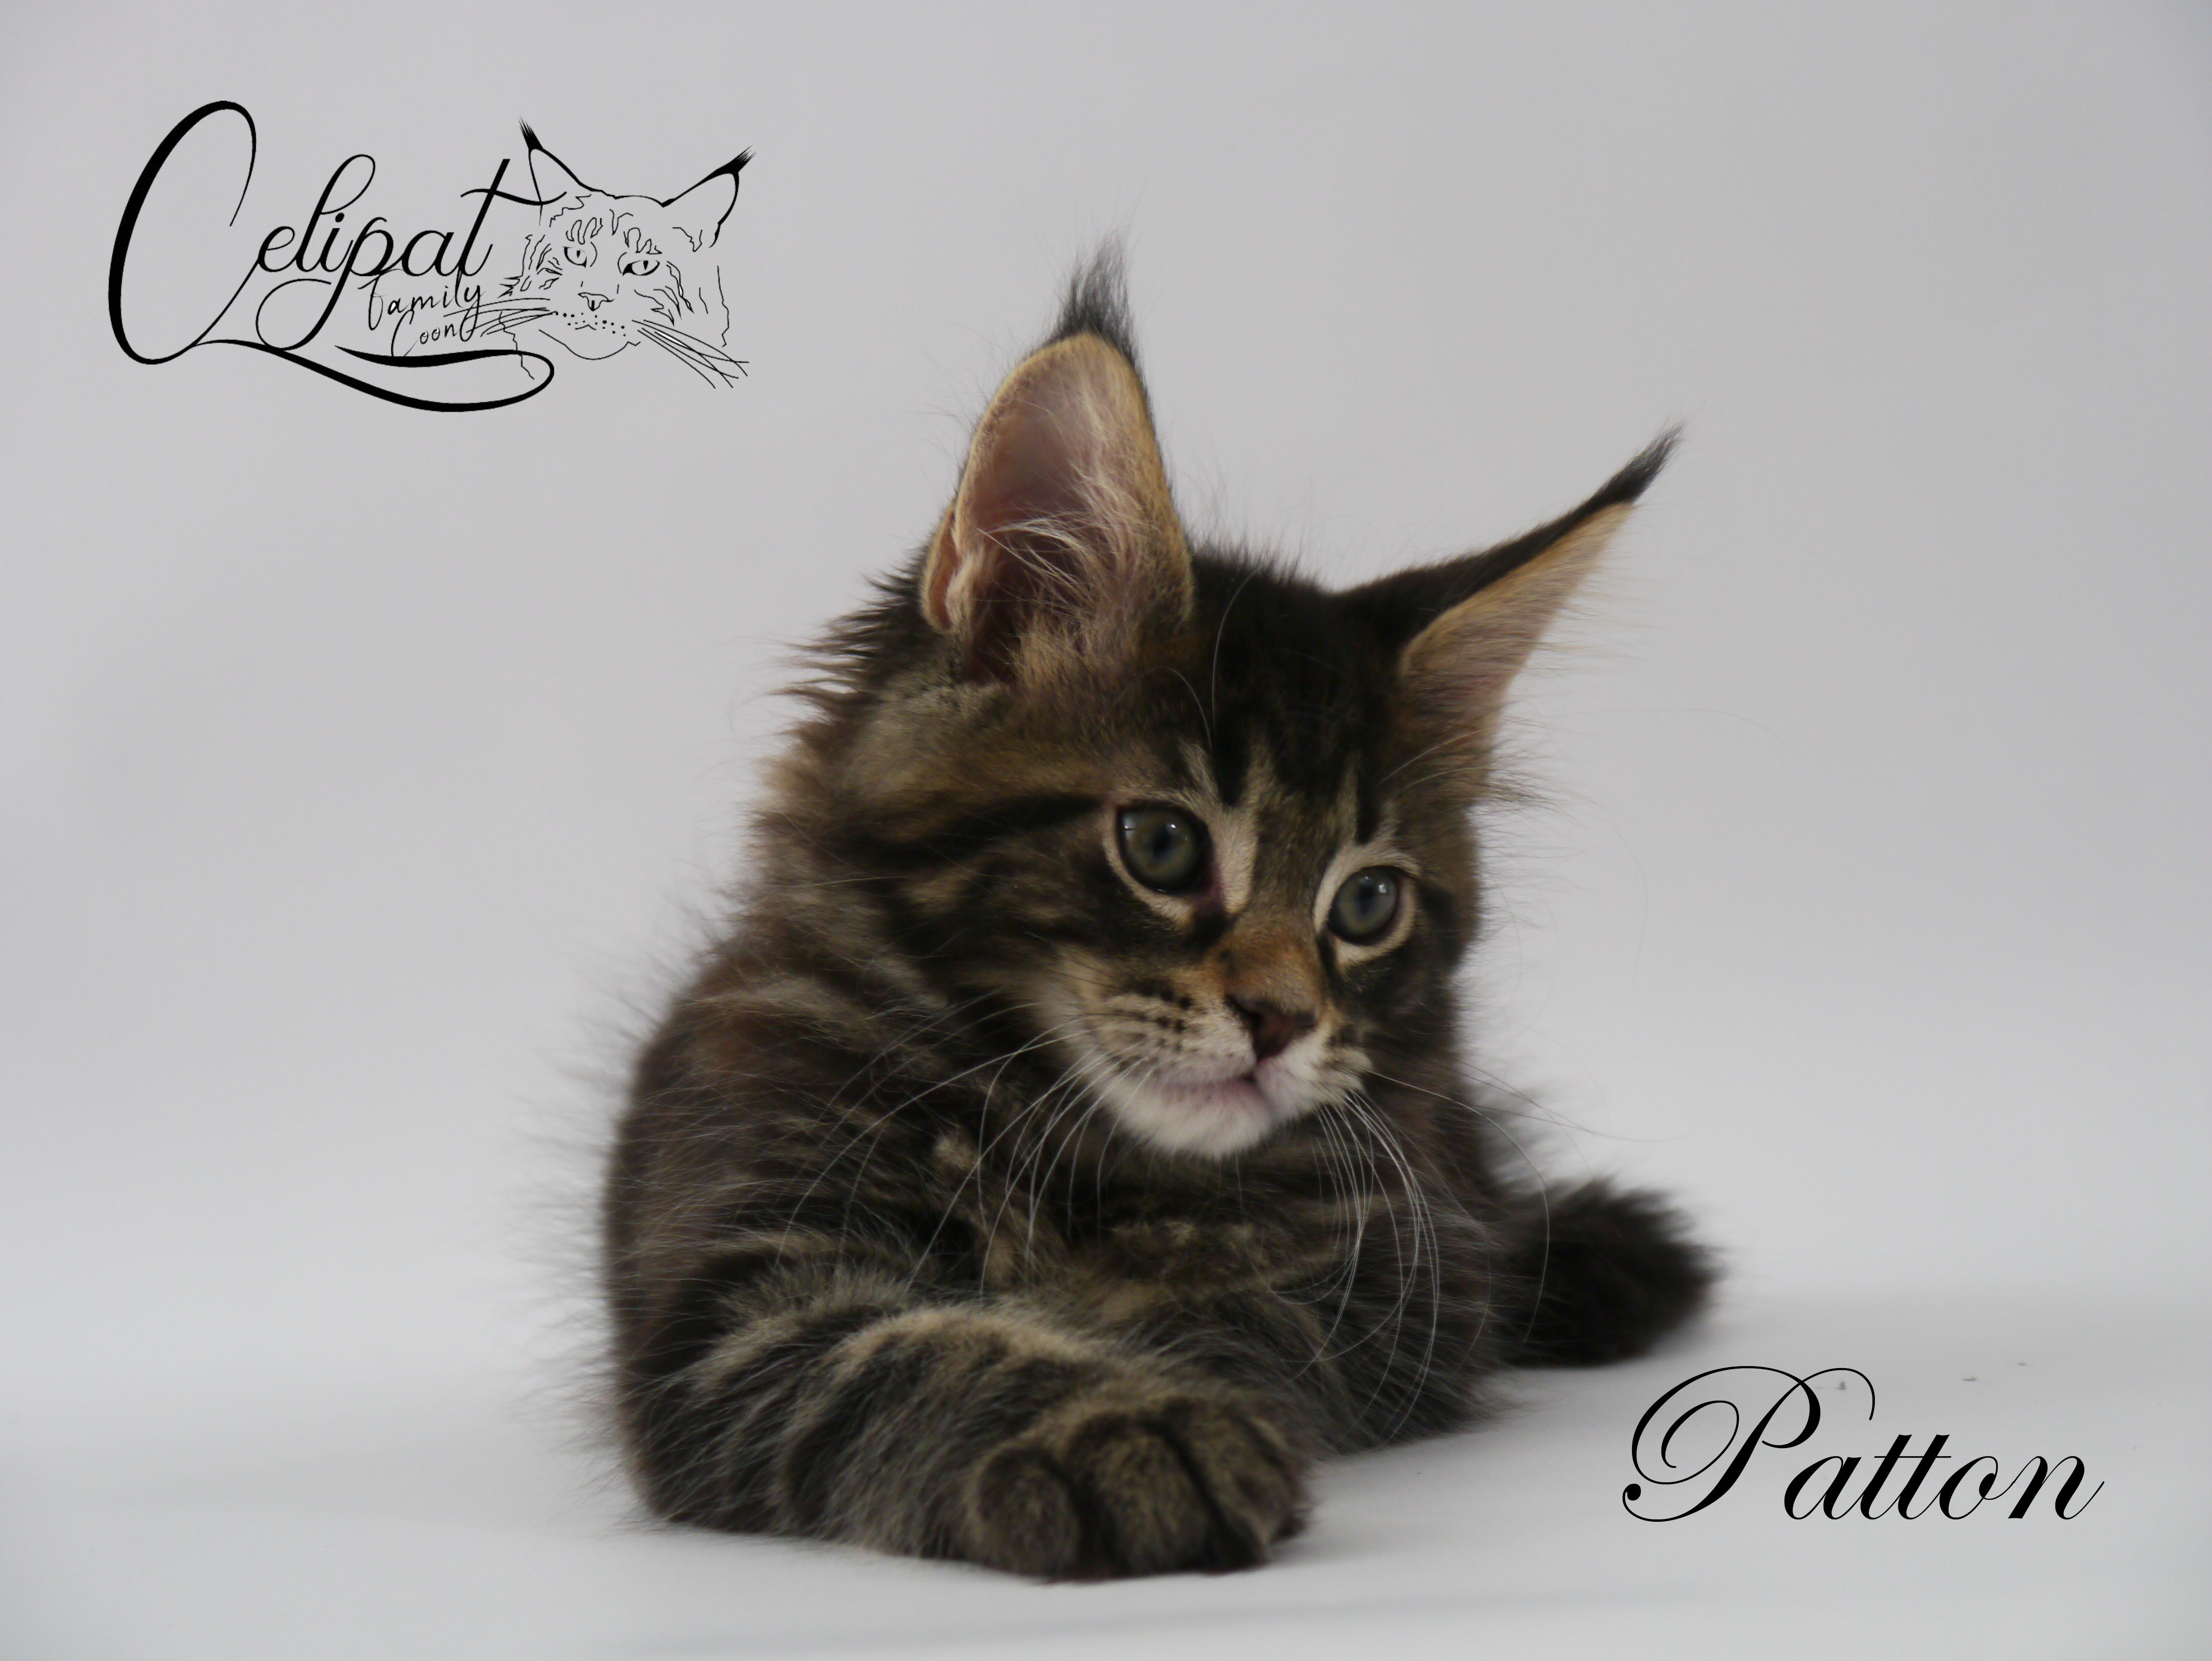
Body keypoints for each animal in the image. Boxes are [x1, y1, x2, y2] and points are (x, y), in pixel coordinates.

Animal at [600, 252, 1713, 1577]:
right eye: (1164, 844)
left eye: (1368, 901)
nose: (1282, 1019)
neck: (1070, 1153)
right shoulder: (736, 1293)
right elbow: (919, 1351)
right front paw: (1127, 1433)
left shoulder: (1372, 1290)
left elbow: (1207, 1314)